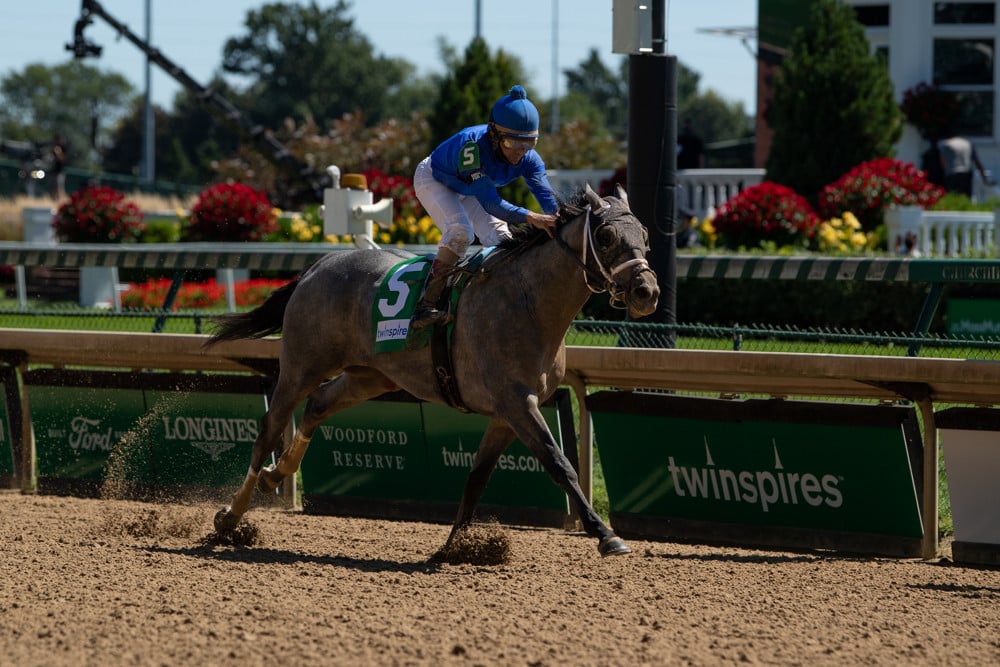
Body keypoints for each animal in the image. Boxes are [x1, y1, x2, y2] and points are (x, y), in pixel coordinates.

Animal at [205, 184, 656, 560]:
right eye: (606, 237)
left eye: (646, 235)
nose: (646, 292)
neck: (528, 300)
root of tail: (318, 266)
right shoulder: (517, 403)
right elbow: (559, 464)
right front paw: (606, 535)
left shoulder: (505, 414)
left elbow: (476, 478)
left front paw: (454, 547)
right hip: (302, 365)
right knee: (268, 429)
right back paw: (231, 517)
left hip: (370, 375)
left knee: (318, 405)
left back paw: (274, 476)